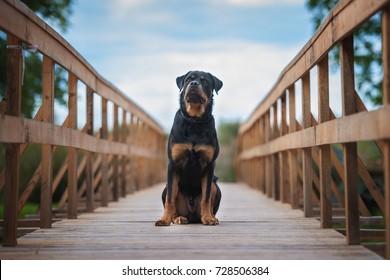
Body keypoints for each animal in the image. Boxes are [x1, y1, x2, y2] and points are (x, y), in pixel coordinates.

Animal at [155, 70, 222, 225]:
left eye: (205, 81)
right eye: (188, 80)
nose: (194, 83)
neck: (194, 121)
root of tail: (192, 215)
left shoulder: (209, 165)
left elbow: (206, 197)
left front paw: (208, 218)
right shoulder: (173, 164)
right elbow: (170, 199)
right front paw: (164, 219)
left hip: (216, 185)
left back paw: (210, 217)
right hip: (166, 188)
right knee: (171, 198)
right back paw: (177, 218)